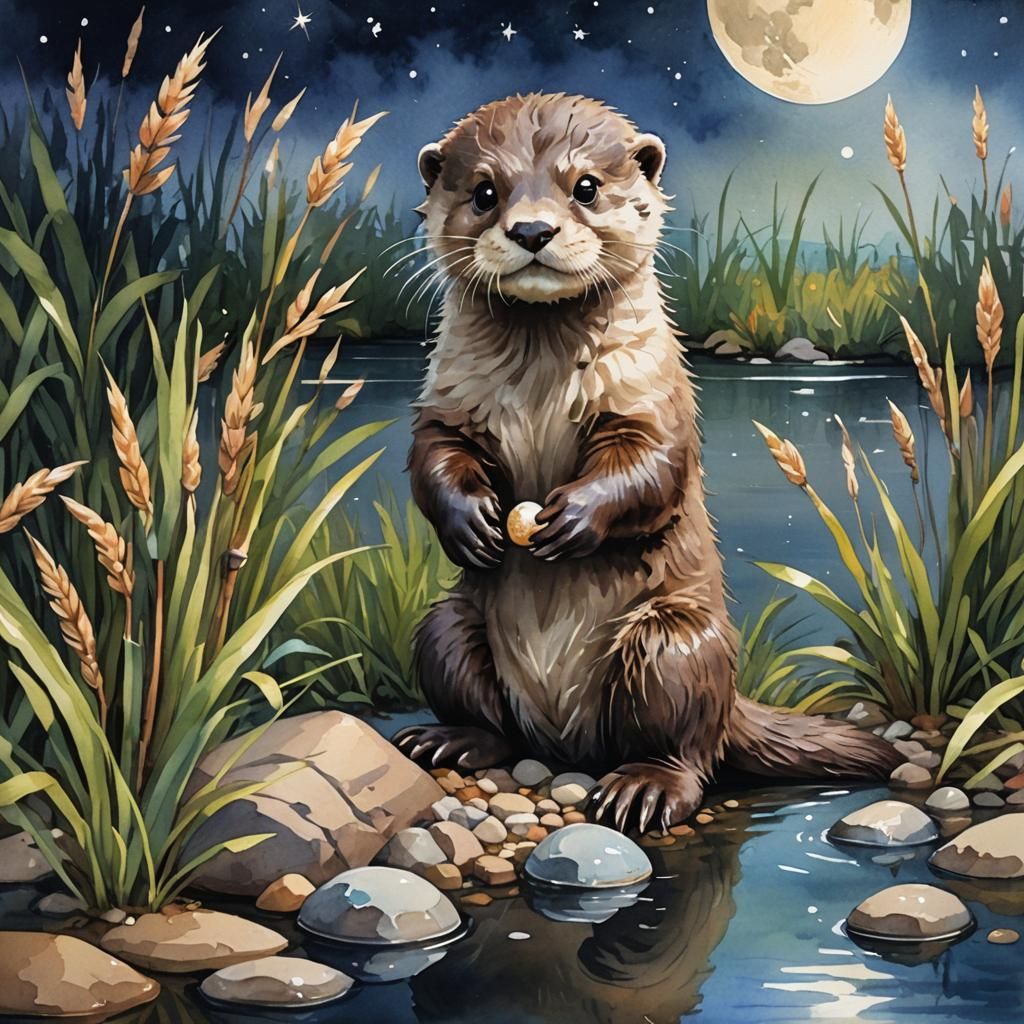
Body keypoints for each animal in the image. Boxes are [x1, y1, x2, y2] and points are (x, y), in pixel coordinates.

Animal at [396, 93, 898, 832]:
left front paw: (572, 518)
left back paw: (647, 787)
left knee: (686, 746)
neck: (539, 382)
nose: (533, 230)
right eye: (484, 192)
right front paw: (471, 522)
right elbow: (433, 451)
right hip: (447, 630)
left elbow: (652, 466)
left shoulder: (650, 397)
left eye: (585, 186)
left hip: (673, 646)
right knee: (488, 714)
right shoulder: (448, 398)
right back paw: (450, 739)